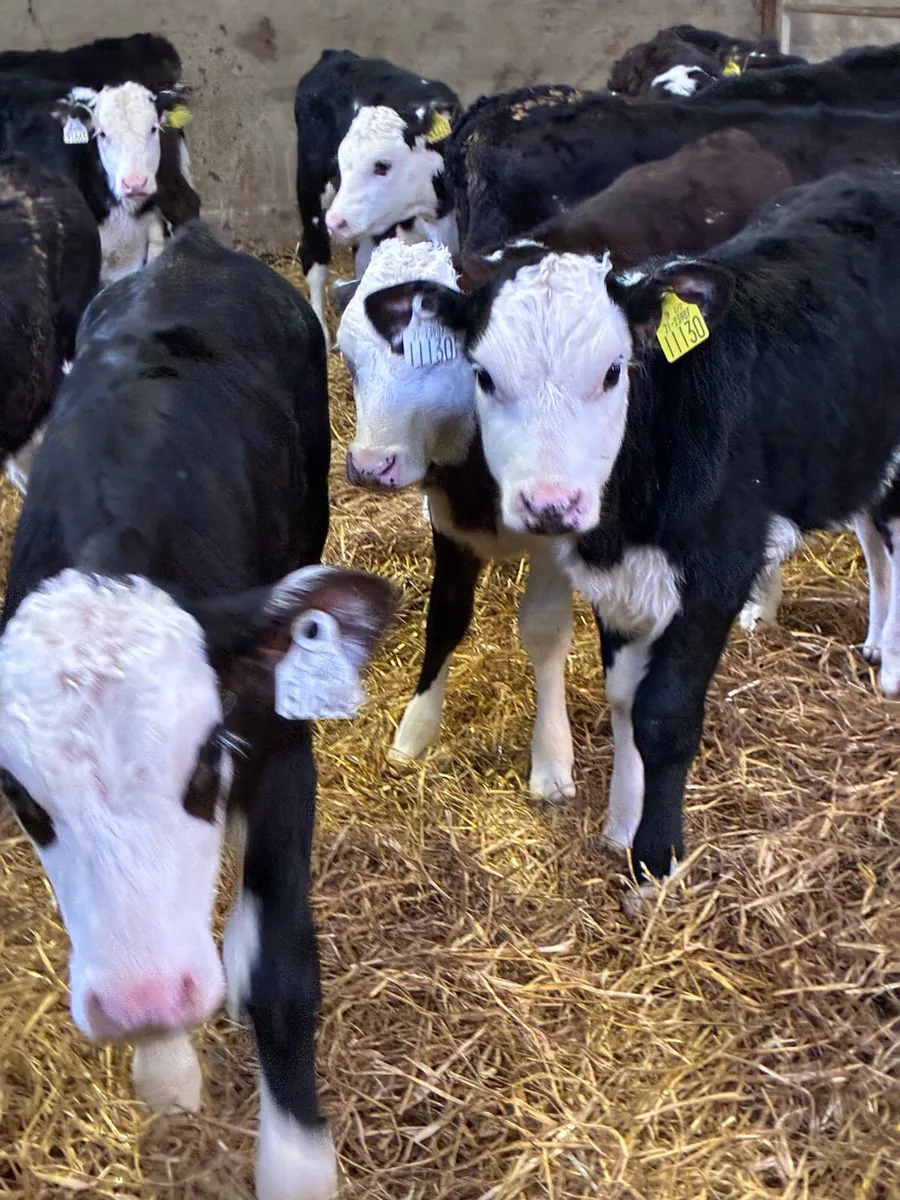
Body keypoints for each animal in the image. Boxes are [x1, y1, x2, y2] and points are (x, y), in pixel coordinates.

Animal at [0, 221, 396, 1200]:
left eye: (208, 758)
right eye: (22, 801)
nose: (144, 996)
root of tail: (192, 243)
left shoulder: (281, 742)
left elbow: (282, 968)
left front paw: (296, 1164)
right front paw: (166, 1067)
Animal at [293, 48, 460, 341]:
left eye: (382, 165)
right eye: (341, 161)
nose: (336, 221)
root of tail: (337, 55)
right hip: (311, 186)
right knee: (315, 259)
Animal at [337, 237, 576, 802]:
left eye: (439, 359)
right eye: (349, 361)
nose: (370, 466)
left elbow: (544, 630)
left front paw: (551, 761)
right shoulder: (448, 526)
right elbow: (445, 616)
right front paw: (414, 732)